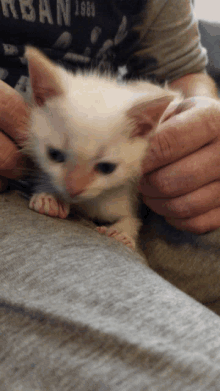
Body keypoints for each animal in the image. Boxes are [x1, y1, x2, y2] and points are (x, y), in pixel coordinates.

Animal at [24, 47, 180, 251]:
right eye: (54, 155)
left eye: (107, 168)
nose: (73, 190)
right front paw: (49, 197)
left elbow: (133, 218)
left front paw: (122, 231)